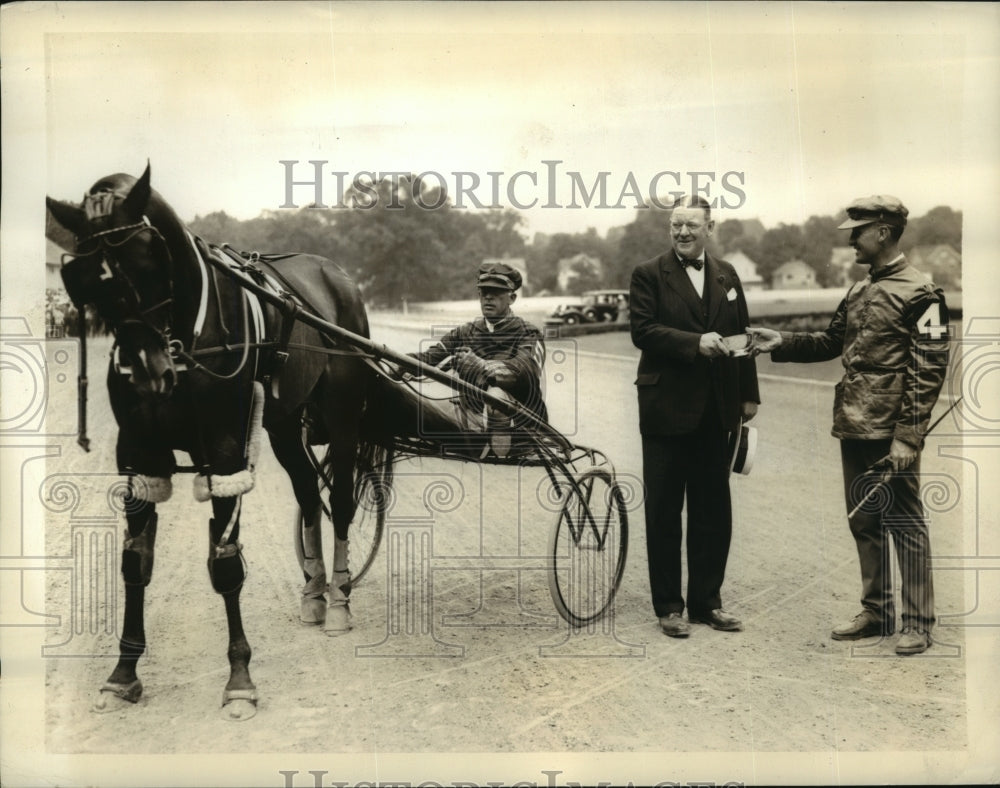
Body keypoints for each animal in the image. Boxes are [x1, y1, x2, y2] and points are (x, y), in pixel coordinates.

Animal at [47, 165, 392, 720]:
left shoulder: (227, 449)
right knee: (307, 494)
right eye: (85, 276)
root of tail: (335, 275)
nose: (149, 373)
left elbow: (226, 565)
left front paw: (239, 680)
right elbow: (134, 563)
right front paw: (123, 674)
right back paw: (314, 592)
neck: (185, 338)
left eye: (150, 256)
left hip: (340, 416)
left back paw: (339, 599)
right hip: (282, 424)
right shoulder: (139, 454)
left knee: (337, 501)